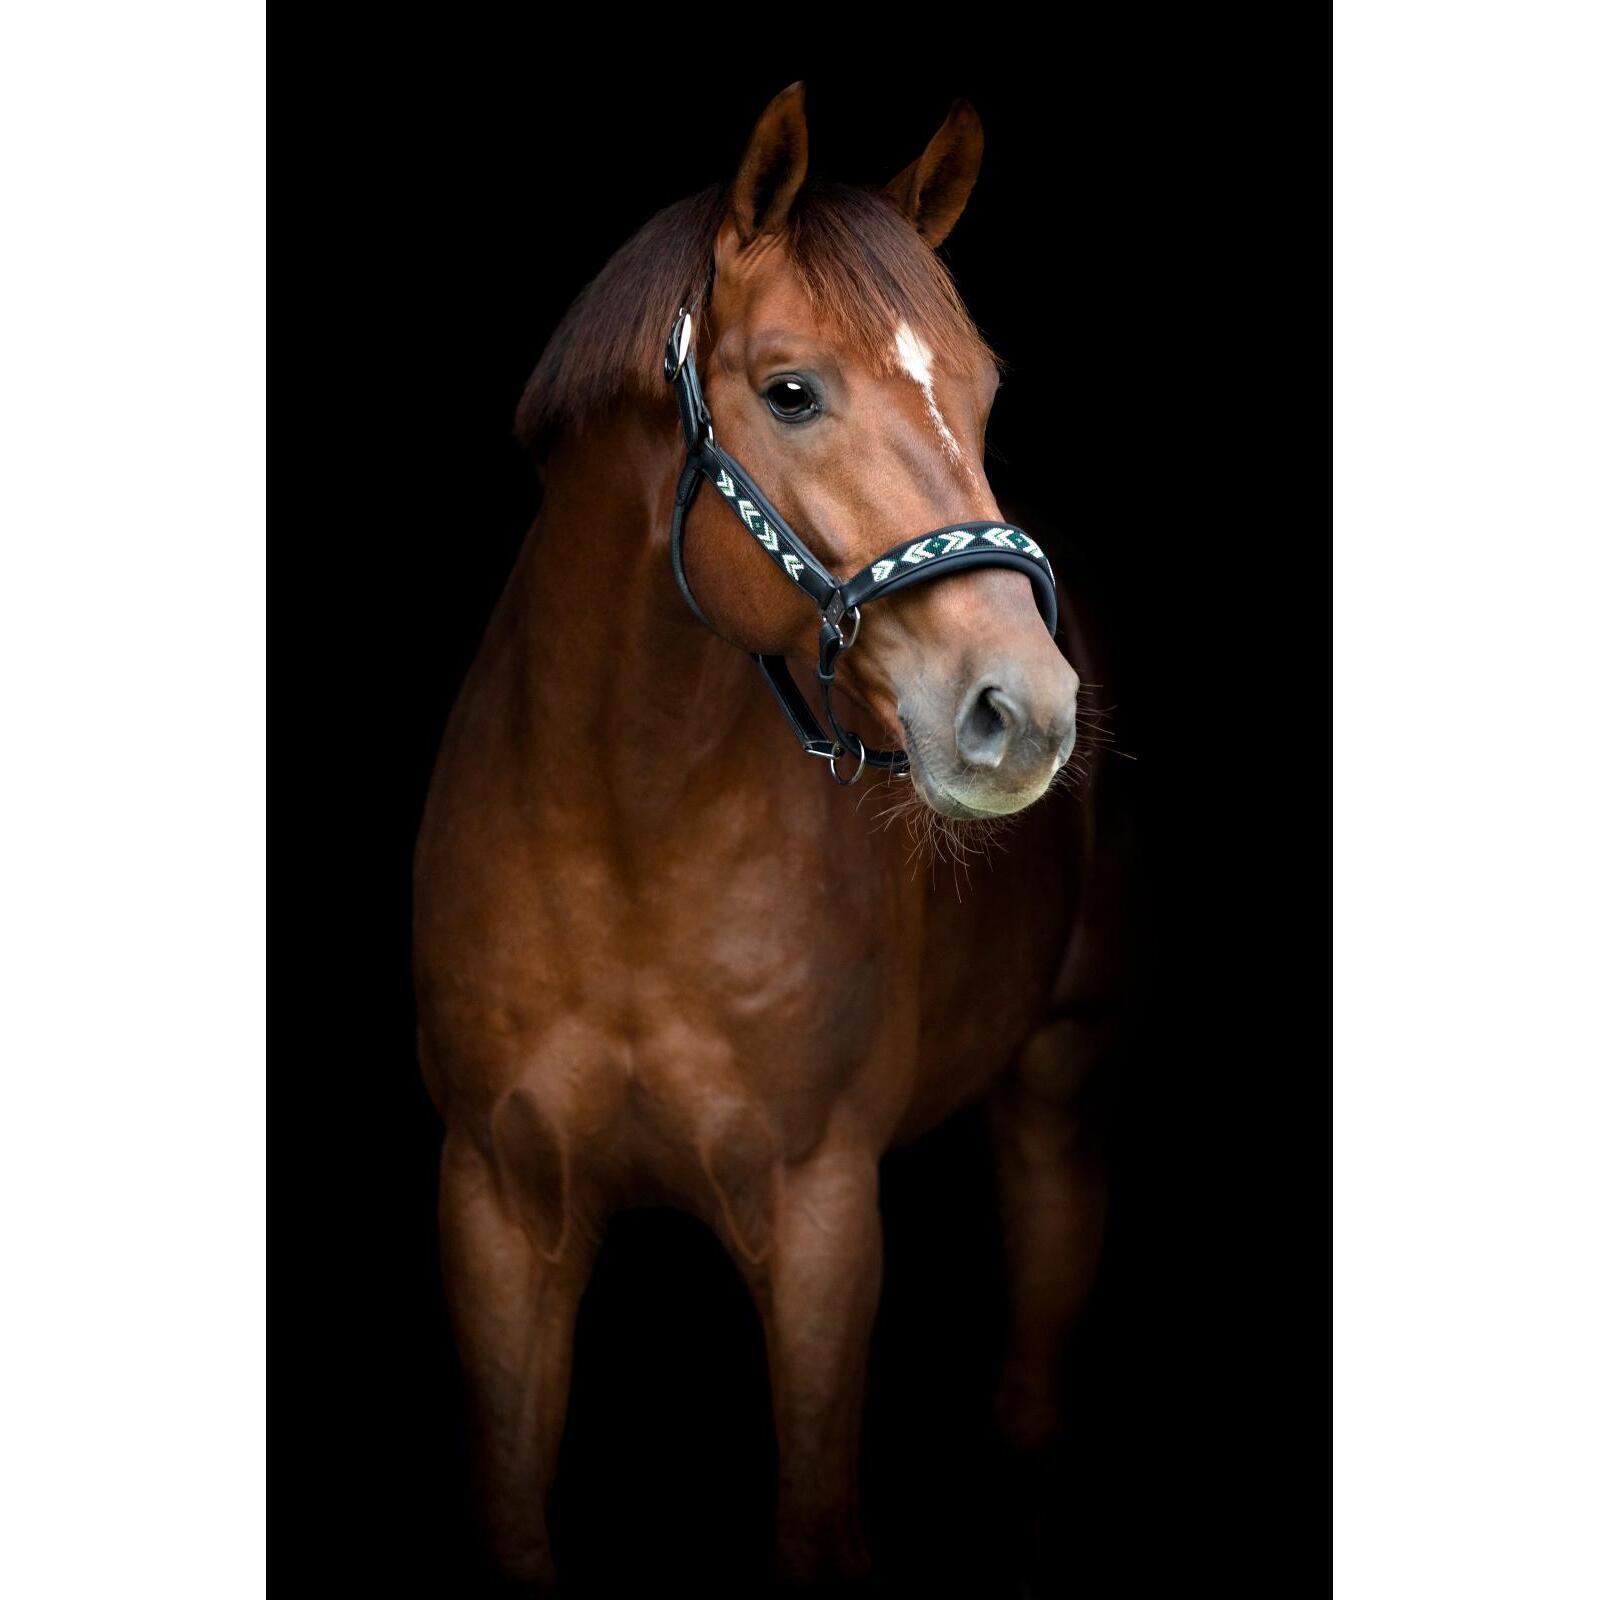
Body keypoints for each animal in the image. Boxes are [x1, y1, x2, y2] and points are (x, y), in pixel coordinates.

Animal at [414, 83, 1124, 1592]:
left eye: (981, 391)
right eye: (792, 389)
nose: (1021, 709)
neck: (623, 843)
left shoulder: (818, 1219)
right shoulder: (495, 1206)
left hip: (1059, 1077)